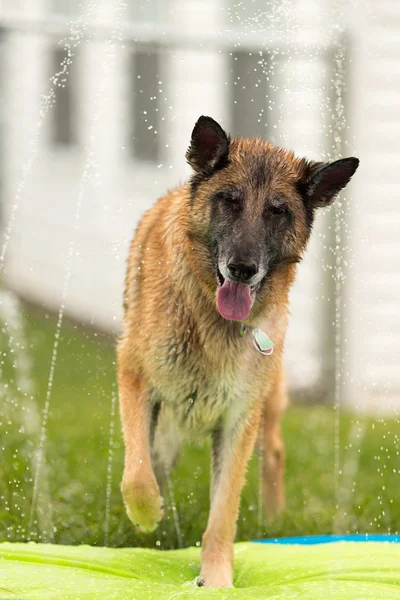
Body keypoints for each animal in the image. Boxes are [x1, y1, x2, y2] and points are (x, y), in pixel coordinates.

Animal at [116, 115, 360, 588]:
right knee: (156, 458)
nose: (242, 269)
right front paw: (147, 514)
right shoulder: (135, 376)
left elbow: (222, 513)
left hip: (266, 402)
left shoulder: (238, 420)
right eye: (229, 201)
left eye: (277, 212)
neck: (212, 319)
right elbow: (137, 472)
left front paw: (216, 579)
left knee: (275, 451)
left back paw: (274, 521)